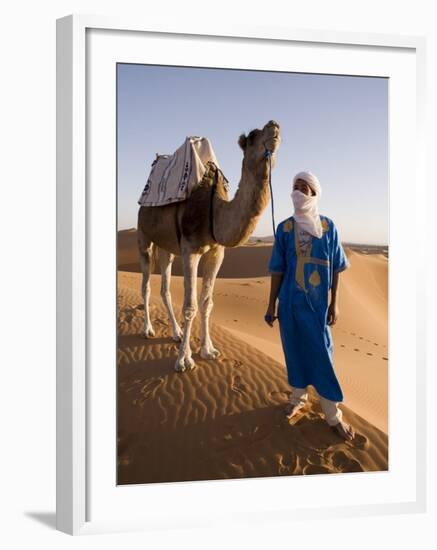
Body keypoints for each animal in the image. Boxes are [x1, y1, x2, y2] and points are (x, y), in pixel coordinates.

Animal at [137, 118, 280, 374]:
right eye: (253, 136)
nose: (274, 125)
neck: (214, 211)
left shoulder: (217, 252)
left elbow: (206, 302)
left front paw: (208, 350)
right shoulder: (189, 250)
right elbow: (190, 306)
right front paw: (184, 360)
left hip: (167, 247)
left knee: (164, 287)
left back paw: (176, 332)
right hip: (144, 235)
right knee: (146, 286)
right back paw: (148, 330)